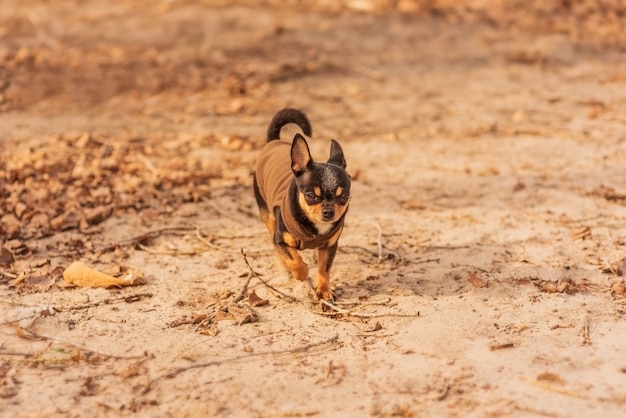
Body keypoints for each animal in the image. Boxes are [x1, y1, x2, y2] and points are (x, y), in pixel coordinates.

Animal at [254, 107, 352, 304]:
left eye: (344, 196)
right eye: (310, 196)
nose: (328, 211)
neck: (315, 228)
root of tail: (273, 141)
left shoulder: (329, 247)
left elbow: (324, 269)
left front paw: (324, 291)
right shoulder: (281, 240)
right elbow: (295, 259)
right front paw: (301, 273)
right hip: (267, 215)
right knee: (275, 246)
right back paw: (286, 268)